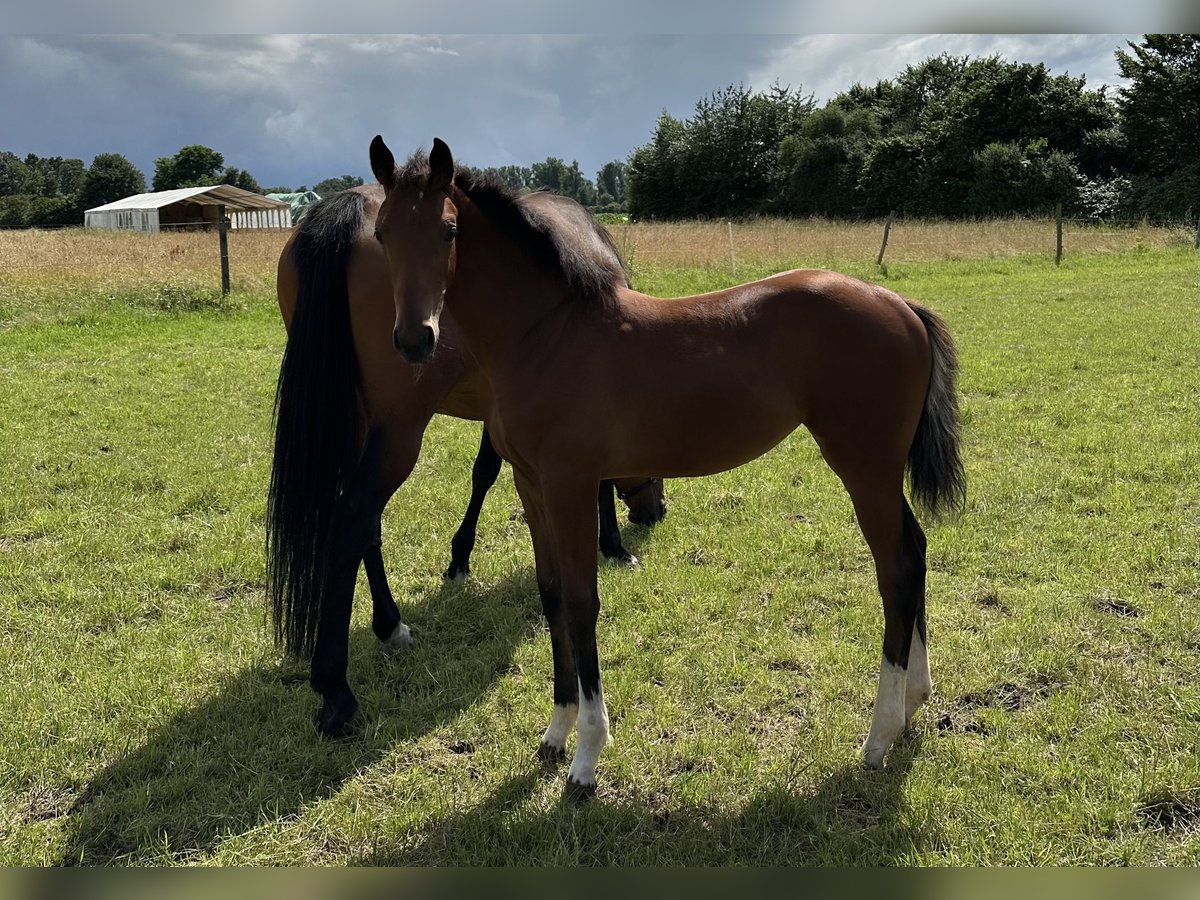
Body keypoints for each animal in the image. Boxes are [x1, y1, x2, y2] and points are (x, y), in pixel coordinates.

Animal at [267, 181, 672, 739]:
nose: (657, 511)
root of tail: (344, 209)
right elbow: (577, 480)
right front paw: (612, 544)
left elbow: (483, 473)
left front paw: (459, 559)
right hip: (399, 431)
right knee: (354, 517)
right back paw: (336, 692)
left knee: (362, 520)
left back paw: (390, 625)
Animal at [364, 139, 964, 801]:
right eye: (383, 232)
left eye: (448, 230)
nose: (415, 340)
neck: (546, 333)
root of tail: (900, 305)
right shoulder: (532, 485)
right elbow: (551, 597)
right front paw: (555, 732)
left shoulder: (572, 485)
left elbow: (581, 603)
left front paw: (586, 758)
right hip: (879, 473)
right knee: (915, 554)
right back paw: (914, 704)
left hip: (864, 468)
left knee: (897, 569)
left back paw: (879, 736)